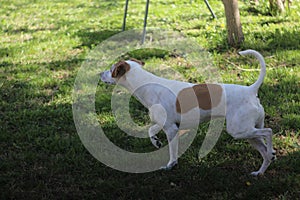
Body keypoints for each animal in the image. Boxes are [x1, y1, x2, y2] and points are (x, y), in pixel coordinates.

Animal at [99, 49, 276, 175]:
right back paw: (262, 168)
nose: (100, 74)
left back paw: (271, 151)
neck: (147, 85)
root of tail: (251, 90)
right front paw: (156, 141)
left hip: (239, 130)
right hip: (248, 133)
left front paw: (170, 165)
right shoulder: (166, 124)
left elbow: (172, 151)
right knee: (264, 150)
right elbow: (151, 130)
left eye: (112, 70)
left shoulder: (171, 129)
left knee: (268, 132)